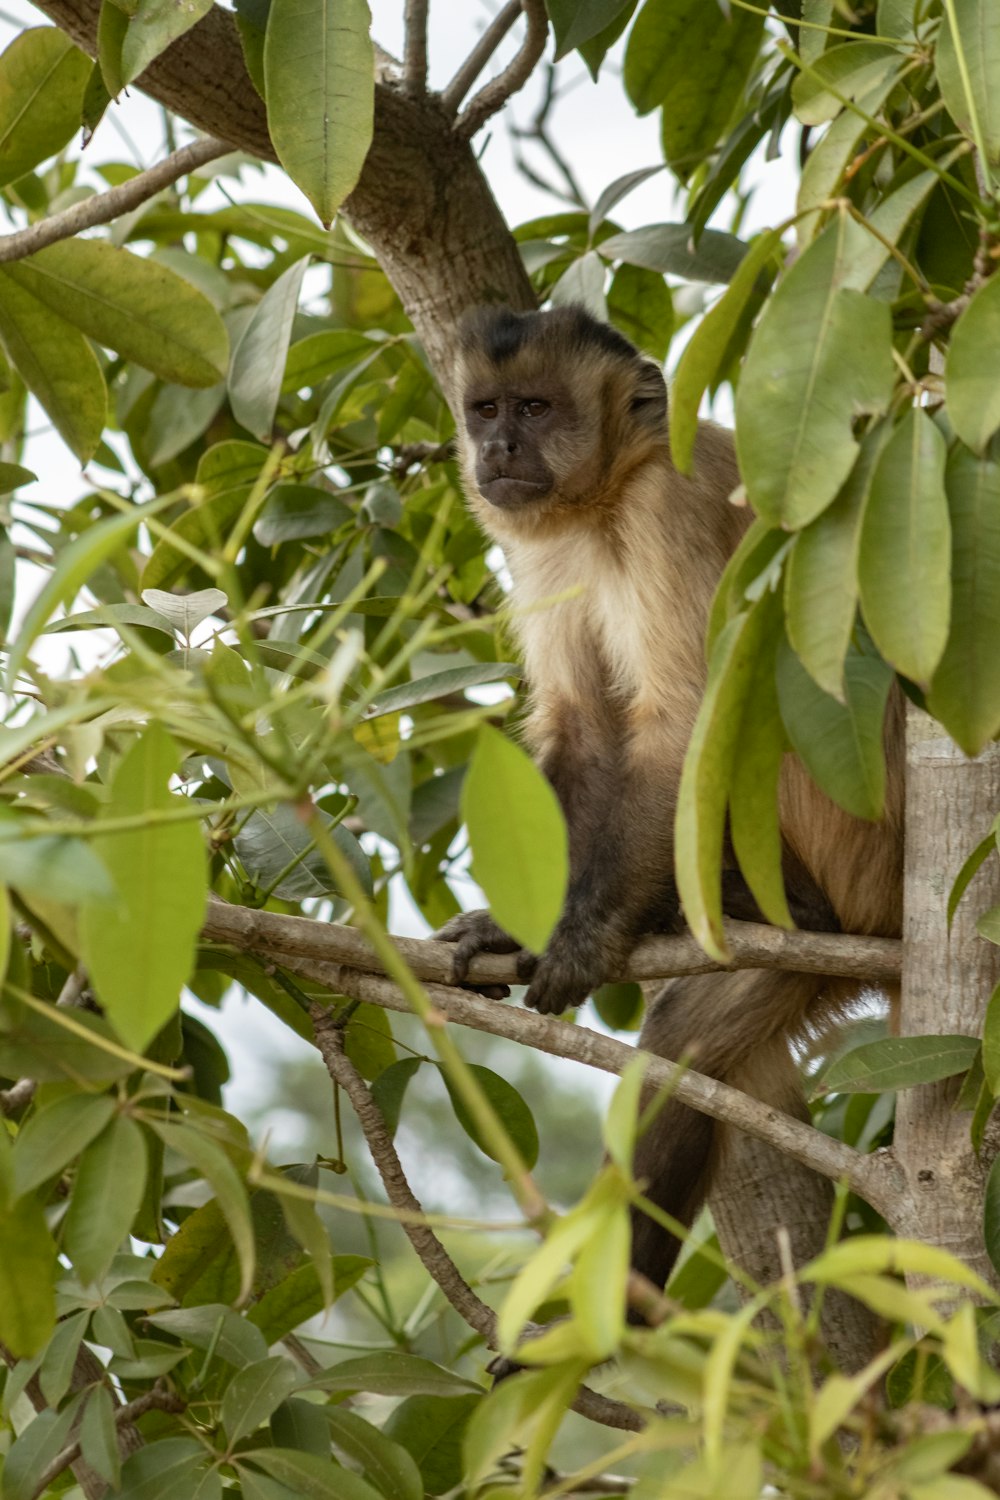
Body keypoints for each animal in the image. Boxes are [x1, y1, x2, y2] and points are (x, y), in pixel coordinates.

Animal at [437, 301, 905, 1290]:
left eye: (534, 408)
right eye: (486, 408)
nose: (497, 446)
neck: (608, 496)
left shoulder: (669, 507)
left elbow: (684, 717)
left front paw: (583, 935)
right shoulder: (541, 550)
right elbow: (582, 727)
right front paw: (513, 926)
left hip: (854, 849)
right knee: (684, 1049)